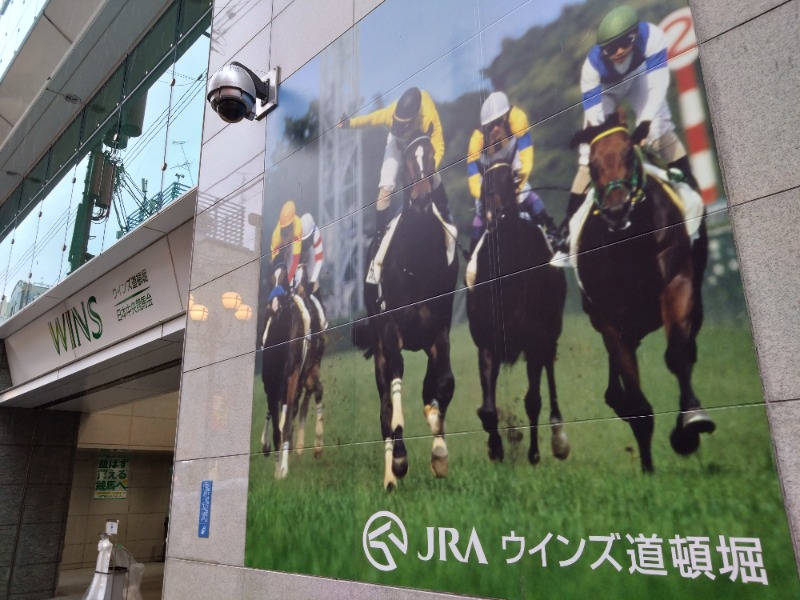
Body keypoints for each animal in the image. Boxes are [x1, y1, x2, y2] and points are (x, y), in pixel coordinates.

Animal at [260, 262, 326, 478]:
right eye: (270, 279)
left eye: (284, 280)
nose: (273, 307)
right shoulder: (271, 381)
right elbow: (277, 418)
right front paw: (277, 462)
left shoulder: (295, 376)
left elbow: (288, 416)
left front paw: (283, 467)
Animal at [364, 135, 456, 488]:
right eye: (405, 162)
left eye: (430, 157)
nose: (420, 202)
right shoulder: (391, 334)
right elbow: (395, 387)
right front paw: (400, 461)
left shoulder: (439, 331)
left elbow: (443, 383)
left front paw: (439, 454)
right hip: (378, 346)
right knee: (384, 408)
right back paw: (390, 477)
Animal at [466, 162, 572, 466]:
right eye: (483, 185)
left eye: (508, 182)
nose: (493, 216)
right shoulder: (487, 344)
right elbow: (488, 409)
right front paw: (496, 449)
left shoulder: (533, 340)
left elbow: (533, 400)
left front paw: (534, 453)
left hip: (550, 331)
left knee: (549, 371)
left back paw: (559, 439)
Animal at [568, 115, 712, 472]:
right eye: (592, 165)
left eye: (628, 154)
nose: (617, 210)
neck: (630, 244)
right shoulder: (610, 319)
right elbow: (634, 395)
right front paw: (648, 468)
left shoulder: (677, 283)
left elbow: (677, 355)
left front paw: (689, 426)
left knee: (688, 346)